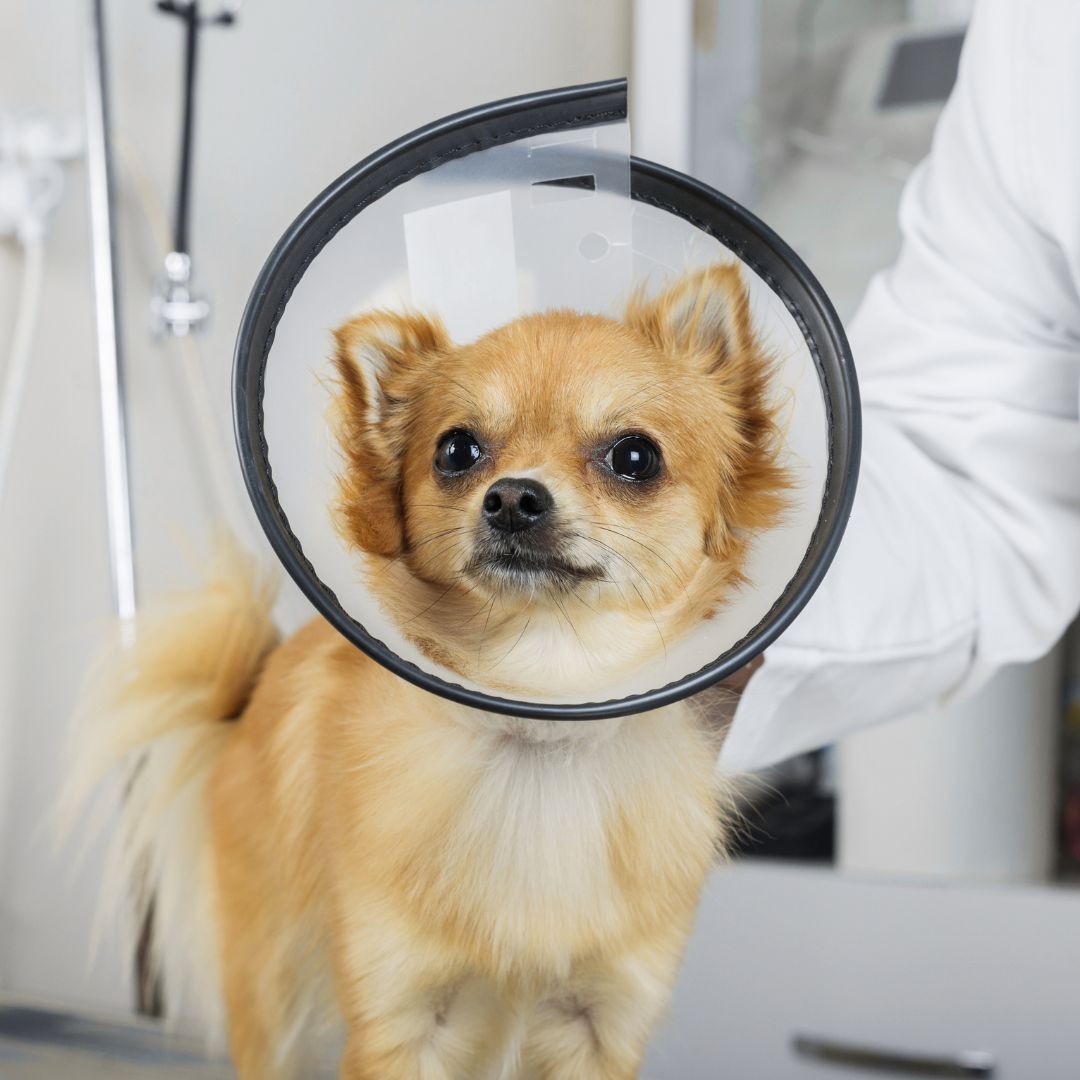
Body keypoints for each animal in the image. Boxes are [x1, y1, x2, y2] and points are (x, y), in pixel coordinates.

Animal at [67, 263, 790, 1080]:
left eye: (635, 457)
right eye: (456, 451)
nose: (512, 496)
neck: (540, 708)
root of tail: (251, 692)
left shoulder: (598, 1025)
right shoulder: (400, 1022)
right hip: (271, 994)